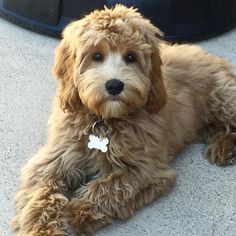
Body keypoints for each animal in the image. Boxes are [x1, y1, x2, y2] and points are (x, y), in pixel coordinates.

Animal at [12, 4, 236, 236]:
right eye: (96, 55)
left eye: (131, 57)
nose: (114, 85)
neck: (104, 121)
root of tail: (213, 57)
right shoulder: (57, 156)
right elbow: (40, 189)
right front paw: (41, 227)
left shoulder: (147, 169)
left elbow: (112, 186)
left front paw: (80, 211)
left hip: (223, 98)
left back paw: (225, 147)